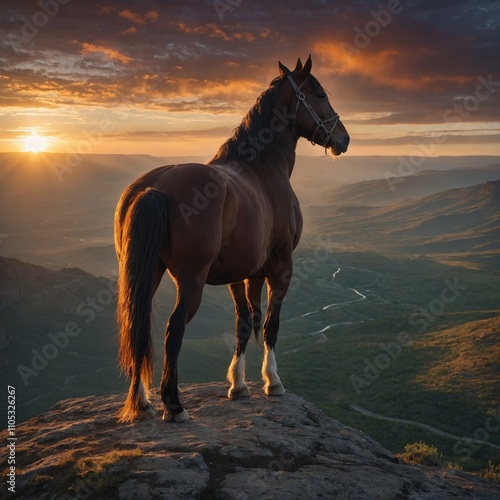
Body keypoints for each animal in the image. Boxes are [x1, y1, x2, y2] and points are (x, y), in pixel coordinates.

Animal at [115, 54, 350, 422]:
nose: (343, 138)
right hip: (191, 279)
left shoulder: (242, 274)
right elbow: (270, 324)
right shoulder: (282, 266)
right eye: (320, 94)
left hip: (147, 272)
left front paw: (238, 385)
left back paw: (141, 403)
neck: (262, 169)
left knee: (137, 324)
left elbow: (243, 323)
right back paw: (173, 404)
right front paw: (273, 382)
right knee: (173, 328)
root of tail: (155, 188)